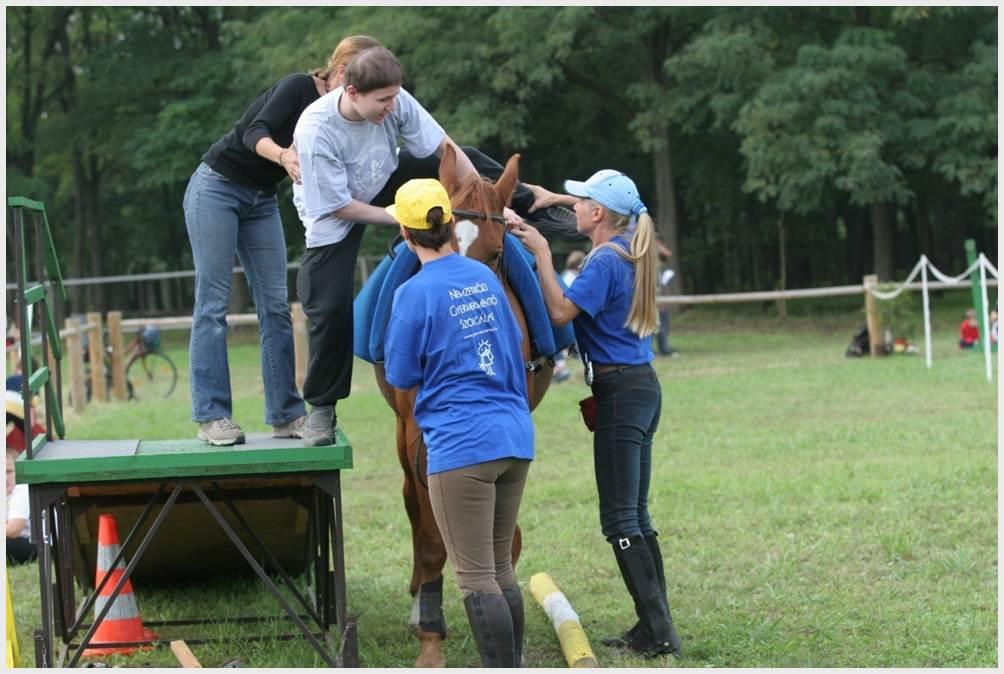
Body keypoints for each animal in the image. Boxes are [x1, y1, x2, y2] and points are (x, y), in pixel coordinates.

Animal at [373, 144, 554, 666]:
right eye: (445, 243)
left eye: (496, 253)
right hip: (403, 438)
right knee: (417, 511)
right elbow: (433, 536)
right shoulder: (419, 437)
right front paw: (430, 635)